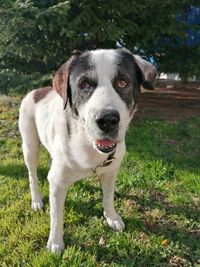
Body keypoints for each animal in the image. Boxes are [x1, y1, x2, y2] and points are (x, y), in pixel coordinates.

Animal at [18, 48, 156, 253]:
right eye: (84, 84)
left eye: (122, 82)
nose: (107, 120)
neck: (90, 147)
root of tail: (37, 90)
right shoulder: (57, 181)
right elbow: (56, 215)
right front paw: (55, 242)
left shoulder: (110, 172)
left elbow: (108, 197)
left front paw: (112, 217)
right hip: (30, 145)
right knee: (32, 174)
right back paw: (36, 200)